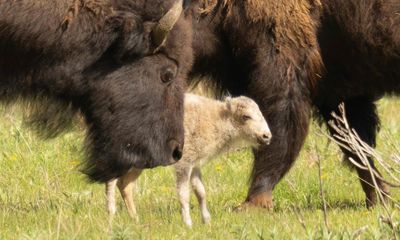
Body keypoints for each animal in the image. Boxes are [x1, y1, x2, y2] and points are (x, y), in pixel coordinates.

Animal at [105, 94, 272, 227]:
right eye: (246, 116)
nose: (267, 136)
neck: (216, 118)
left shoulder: (195, 165)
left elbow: (200, 192)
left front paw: (207, 221)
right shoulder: (184, 165)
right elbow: (184, 194)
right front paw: (188, 223)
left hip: (137, 164)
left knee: (125, 185)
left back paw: (135, 219)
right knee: (112, 181)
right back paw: (112, 213)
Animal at [188, 0, 400, 208]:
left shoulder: (283, 65)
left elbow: (279, 128)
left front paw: (253, 203)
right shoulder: (338, 90)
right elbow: (356, 145)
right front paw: (378, 199)